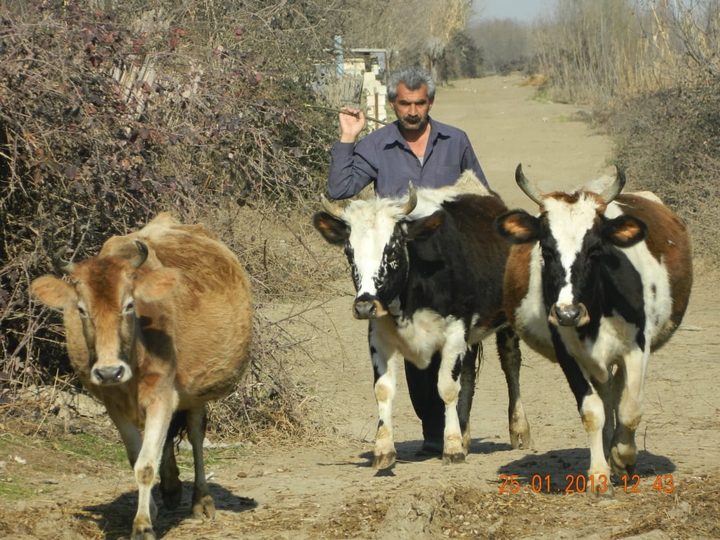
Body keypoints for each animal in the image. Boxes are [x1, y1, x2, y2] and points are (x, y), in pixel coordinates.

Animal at [30, 213, 253, 539]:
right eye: (81, 309)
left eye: (129, 304)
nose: (109, 371)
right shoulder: (113, 403)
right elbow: (138, 457)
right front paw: (151, 511)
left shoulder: (162, 395)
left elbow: (147, 465)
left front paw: (143, 525)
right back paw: (171, 488)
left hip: (196, 391)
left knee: (196, 436)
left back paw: (201, 500)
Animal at [313, 172, 532, 469]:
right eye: (349, 253)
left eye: (393, 252)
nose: (365, 306)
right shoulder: (379, 336)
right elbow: (383, 389)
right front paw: (383, 449)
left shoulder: (454, 331)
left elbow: (447, 388)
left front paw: (452, 448)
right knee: (469, 374)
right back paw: (465, 433)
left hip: (505, 322)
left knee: (511, 364)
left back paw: (518, 429)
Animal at [494, 164, 693, 495]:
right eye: (546, 250)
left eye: (595, 248)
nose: (568, 312)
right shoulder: (568, 355)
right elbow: (592, 411)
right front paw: (600, 474)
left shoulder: (638, 349)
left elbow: (630, 409)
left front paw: (623, 459)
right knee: (605, 392)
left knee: (617, 391)